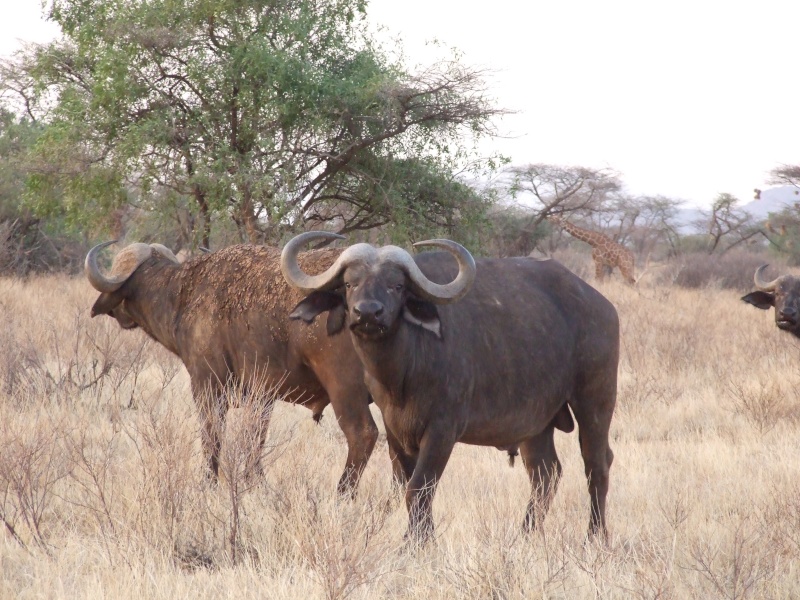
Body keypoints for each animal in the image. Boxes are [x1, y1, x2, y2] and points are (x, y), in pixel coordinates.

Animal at [84, 239, 378, 492]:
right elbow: (255, 441)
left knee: (362, 434)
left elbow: (212, 436)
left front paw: (209, 483)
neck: (182, 294)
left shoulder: (207, 386)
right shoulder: (262, 397)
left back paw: (343, 493)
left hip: (344, 389)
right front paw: (255, 482)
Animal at [282, 232, 620, 540]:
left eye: (397, 285)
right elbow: (408, 485)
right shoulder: (394, 428)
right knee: (545, 473)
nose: (368, 312)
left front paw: (416, 543)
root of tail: (603, 306)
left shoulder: (442, 431)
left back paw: (595, 536)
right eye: (350, 284)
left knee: (597, 465)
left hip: (595, 402)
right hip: (537, 423)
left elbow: (419, 488)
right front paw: (421, 537)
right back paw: (525, 534)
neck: (404, 371)